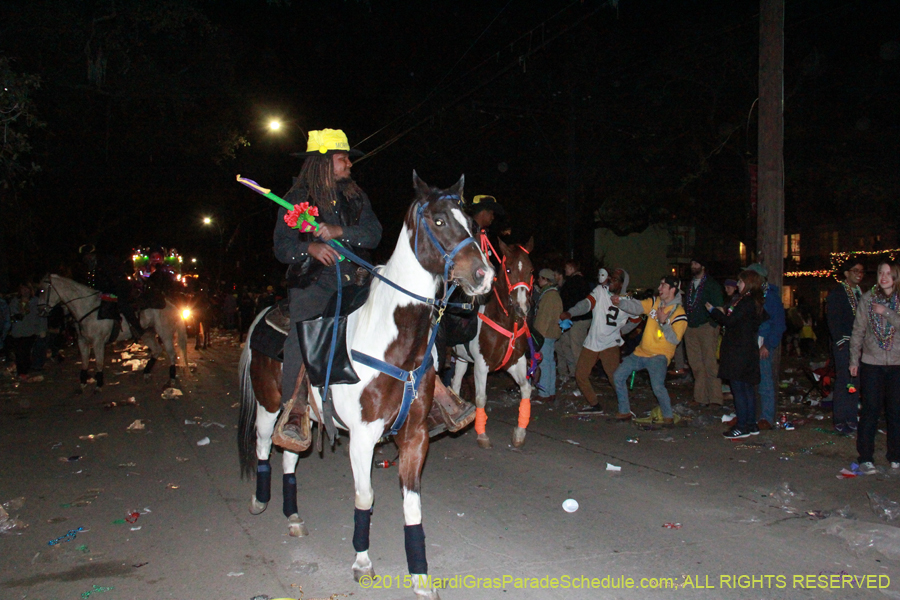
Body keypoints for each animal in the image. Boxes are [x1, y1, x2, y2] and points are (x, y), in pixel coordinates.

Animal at [40, 276, 188, 392]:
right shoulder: (82, 341)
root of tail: (170, 304)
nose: (40, 311)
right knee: (157, 350)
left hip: (165, 333)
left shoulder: (98, 342)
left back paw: (171, 378)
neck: (88, 309)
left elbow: (99, 363)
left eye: (41, 290)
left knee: (171, 354)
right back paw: (146, 372)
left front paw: (99, 384)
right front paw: (83, 382)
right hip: (147, 334)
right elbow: (84, 362)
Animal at [237, 173, 492, 600]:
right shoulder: (362, 436)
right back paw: (259, 501)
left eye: (471, 224)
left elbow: (412, 505)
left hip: (303, 415)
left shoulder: (414, 436)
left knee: (290, 452)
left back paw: (293, 516)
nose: (484, 276)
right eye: (439, 221)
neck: (391, 342)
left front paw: (420, 576)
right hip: (269, 403)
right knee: (262, 443)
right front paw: (361, 562)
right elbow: (365, 496)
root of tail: (264, 312)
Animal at [454, 237, 532, 448]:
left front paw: (520, 433)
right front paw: (482, 434)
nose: (522, 308)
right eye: (509, 270)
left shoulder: (515, 362)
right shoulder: (482, 364)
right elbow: (481, 398)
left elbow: (526, 389)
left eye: (531, 270)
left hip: (461, 359)